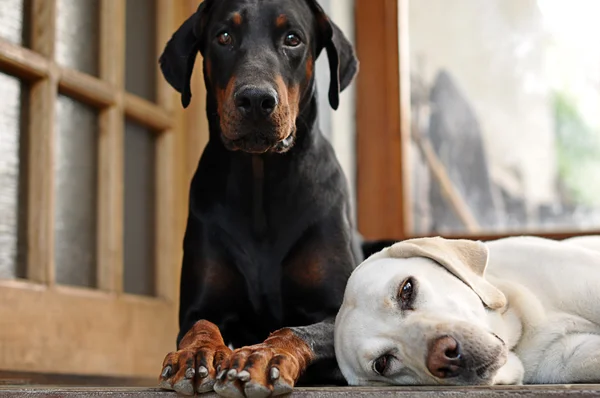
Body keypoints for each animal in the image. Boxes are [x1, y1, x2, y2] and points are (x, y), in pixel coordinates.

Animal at [155, 1, 390, 396]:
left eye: (293, 38)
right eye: (224, 36)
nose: (254, 99)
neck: (261, 185)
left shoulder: (340, 313)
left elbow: (295, 330)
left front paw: (259, 357)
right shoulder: (199, 306)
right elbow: (199, 325)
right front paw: (198, 355)